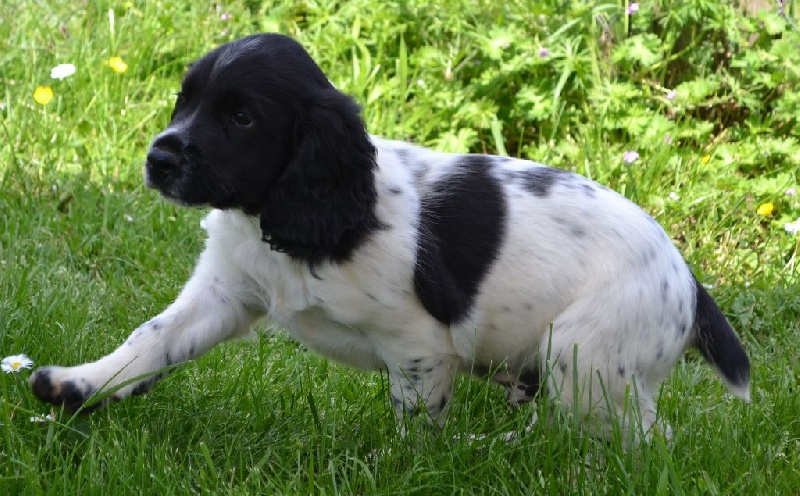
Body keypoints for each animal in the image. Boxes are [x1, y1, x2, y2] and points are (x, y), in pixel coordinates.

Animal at [30, 33, 750, 440]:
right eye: (185, 100)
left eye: (241, 118)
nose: (158, 158)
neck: (288, 221)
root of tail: (688, 282)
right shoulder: (225, 293)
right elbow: (150, 341)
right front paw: (78, 384)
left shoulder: (419, 346)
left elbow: (413, 425)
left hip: (588, 357)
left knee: (641, 442)